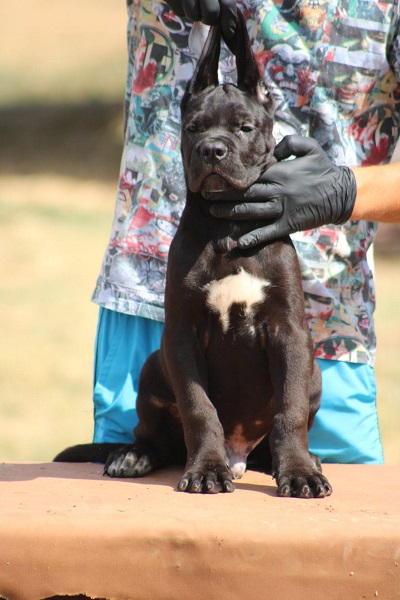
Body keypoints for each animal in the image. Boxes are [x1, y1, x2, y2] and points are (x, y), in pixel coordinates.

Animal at [56, 12, 332, 496]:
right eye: (193, 128)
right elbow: (199, 409)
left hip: (313, 370)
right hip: (153, 365)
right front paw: (205, 470)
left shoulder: (290, 333)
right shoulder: (181, 334)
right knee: (156, 436)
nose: (213, 150)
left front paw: (299, 471)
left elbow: (291, 410)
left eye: (244, 127)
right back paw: (132, 455)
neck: (228, 226)